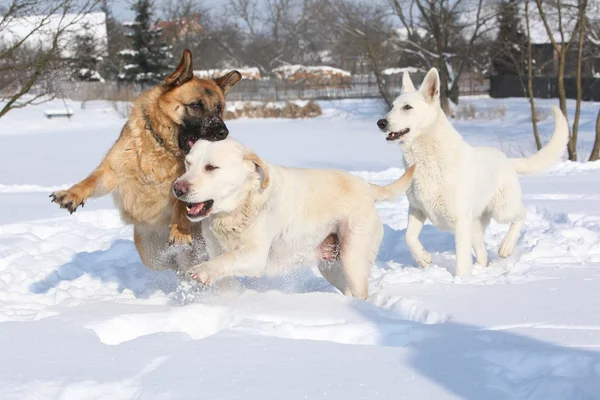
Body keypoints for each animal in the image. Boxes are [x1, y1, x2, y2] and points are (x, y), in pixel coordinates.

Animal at [49, 48, 241, 270]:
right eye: (195, 105)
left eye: (218, 108)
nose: (223, 132)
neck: (162, 147)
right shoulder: (112, 171)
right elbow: (90, 180)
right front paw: (71, 194)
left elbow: (180, 202)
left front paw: (180, 230)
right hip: (152, 257)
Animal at [169, 138, 412, 296]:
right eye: (188, 163)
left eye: (211, 167)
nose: (177, 188)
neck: (237, 208)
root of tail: (367, 186)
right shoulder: (216, 248)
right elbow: (223, 269)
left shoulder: (254, 256)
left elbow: (228, 259)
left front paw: (202, 271)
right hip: (331, 266)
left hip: (353, 259)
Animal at [378, 68, 568, 276]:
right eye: (392, 106)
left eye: (407, 107)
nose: (381, 122)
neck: (426, 159)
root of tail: (507, 160)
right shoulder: (417, 210)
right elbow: (408, 237)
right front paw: (423, 258)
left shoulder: (460, 222)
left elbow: (461, 262)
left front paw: (461, 281)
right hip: (476, 227)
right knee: (483, 255)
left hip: (503, 210)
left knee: (522, 214)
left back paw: (506, 246)